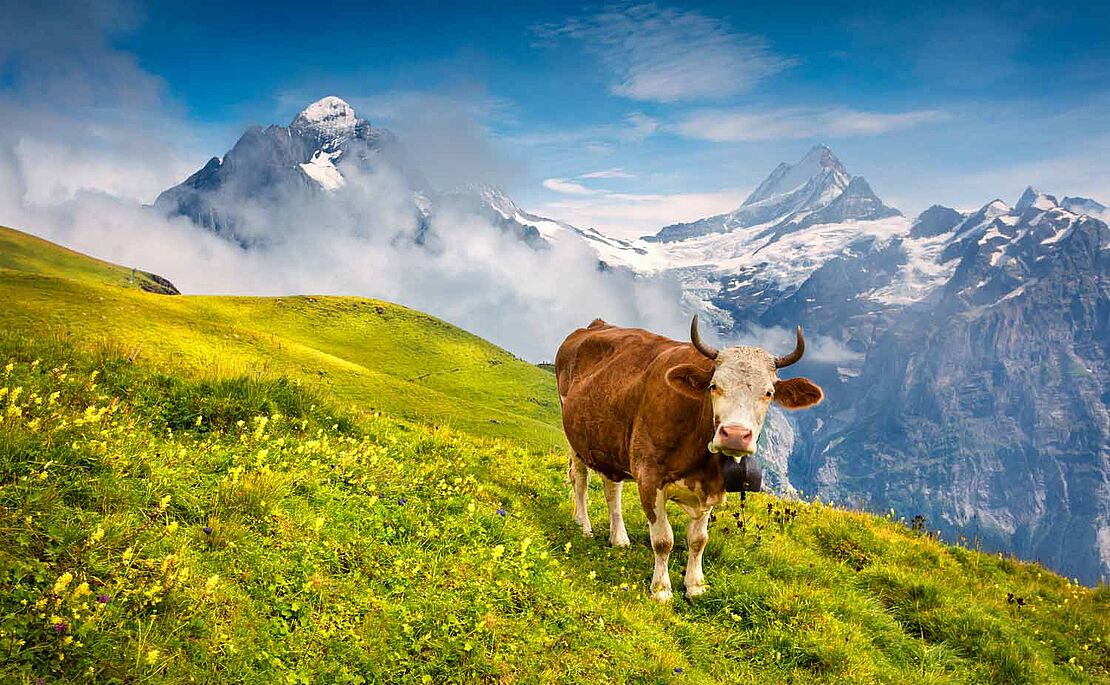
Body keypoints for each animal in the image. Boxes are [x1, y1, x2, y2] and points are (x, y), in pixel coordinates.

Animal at [555, 315, 824, 601]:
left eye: (769, 393)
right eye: (714, 386)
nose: (735, 435)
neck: (700, 461)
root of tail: (595, 325)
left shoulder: (711, 488)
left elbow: (698, 540)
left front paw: (695, 585)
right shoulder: (649, 476)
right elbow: (663, 540)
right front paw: (661, 589)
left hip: (609, 443)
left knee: (611, 489)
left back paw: (619, 538)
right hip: (575, 438)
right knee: (580, 481)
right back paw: (584, 526)